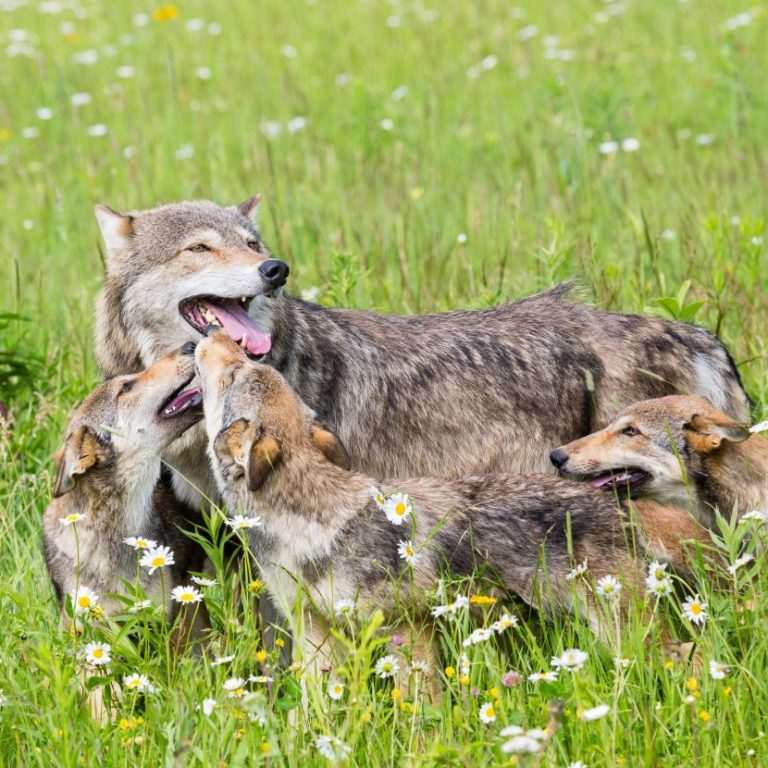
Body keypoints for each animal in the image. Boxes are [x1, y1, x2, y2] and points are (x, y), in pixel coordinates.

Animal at [195, 332, 710, 683]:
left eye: (237, 370)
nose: (219, 336)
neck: (310, 524)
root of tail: (620, 503)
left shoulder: (407, 631)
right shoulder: (312, 636)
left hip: (630, 635)